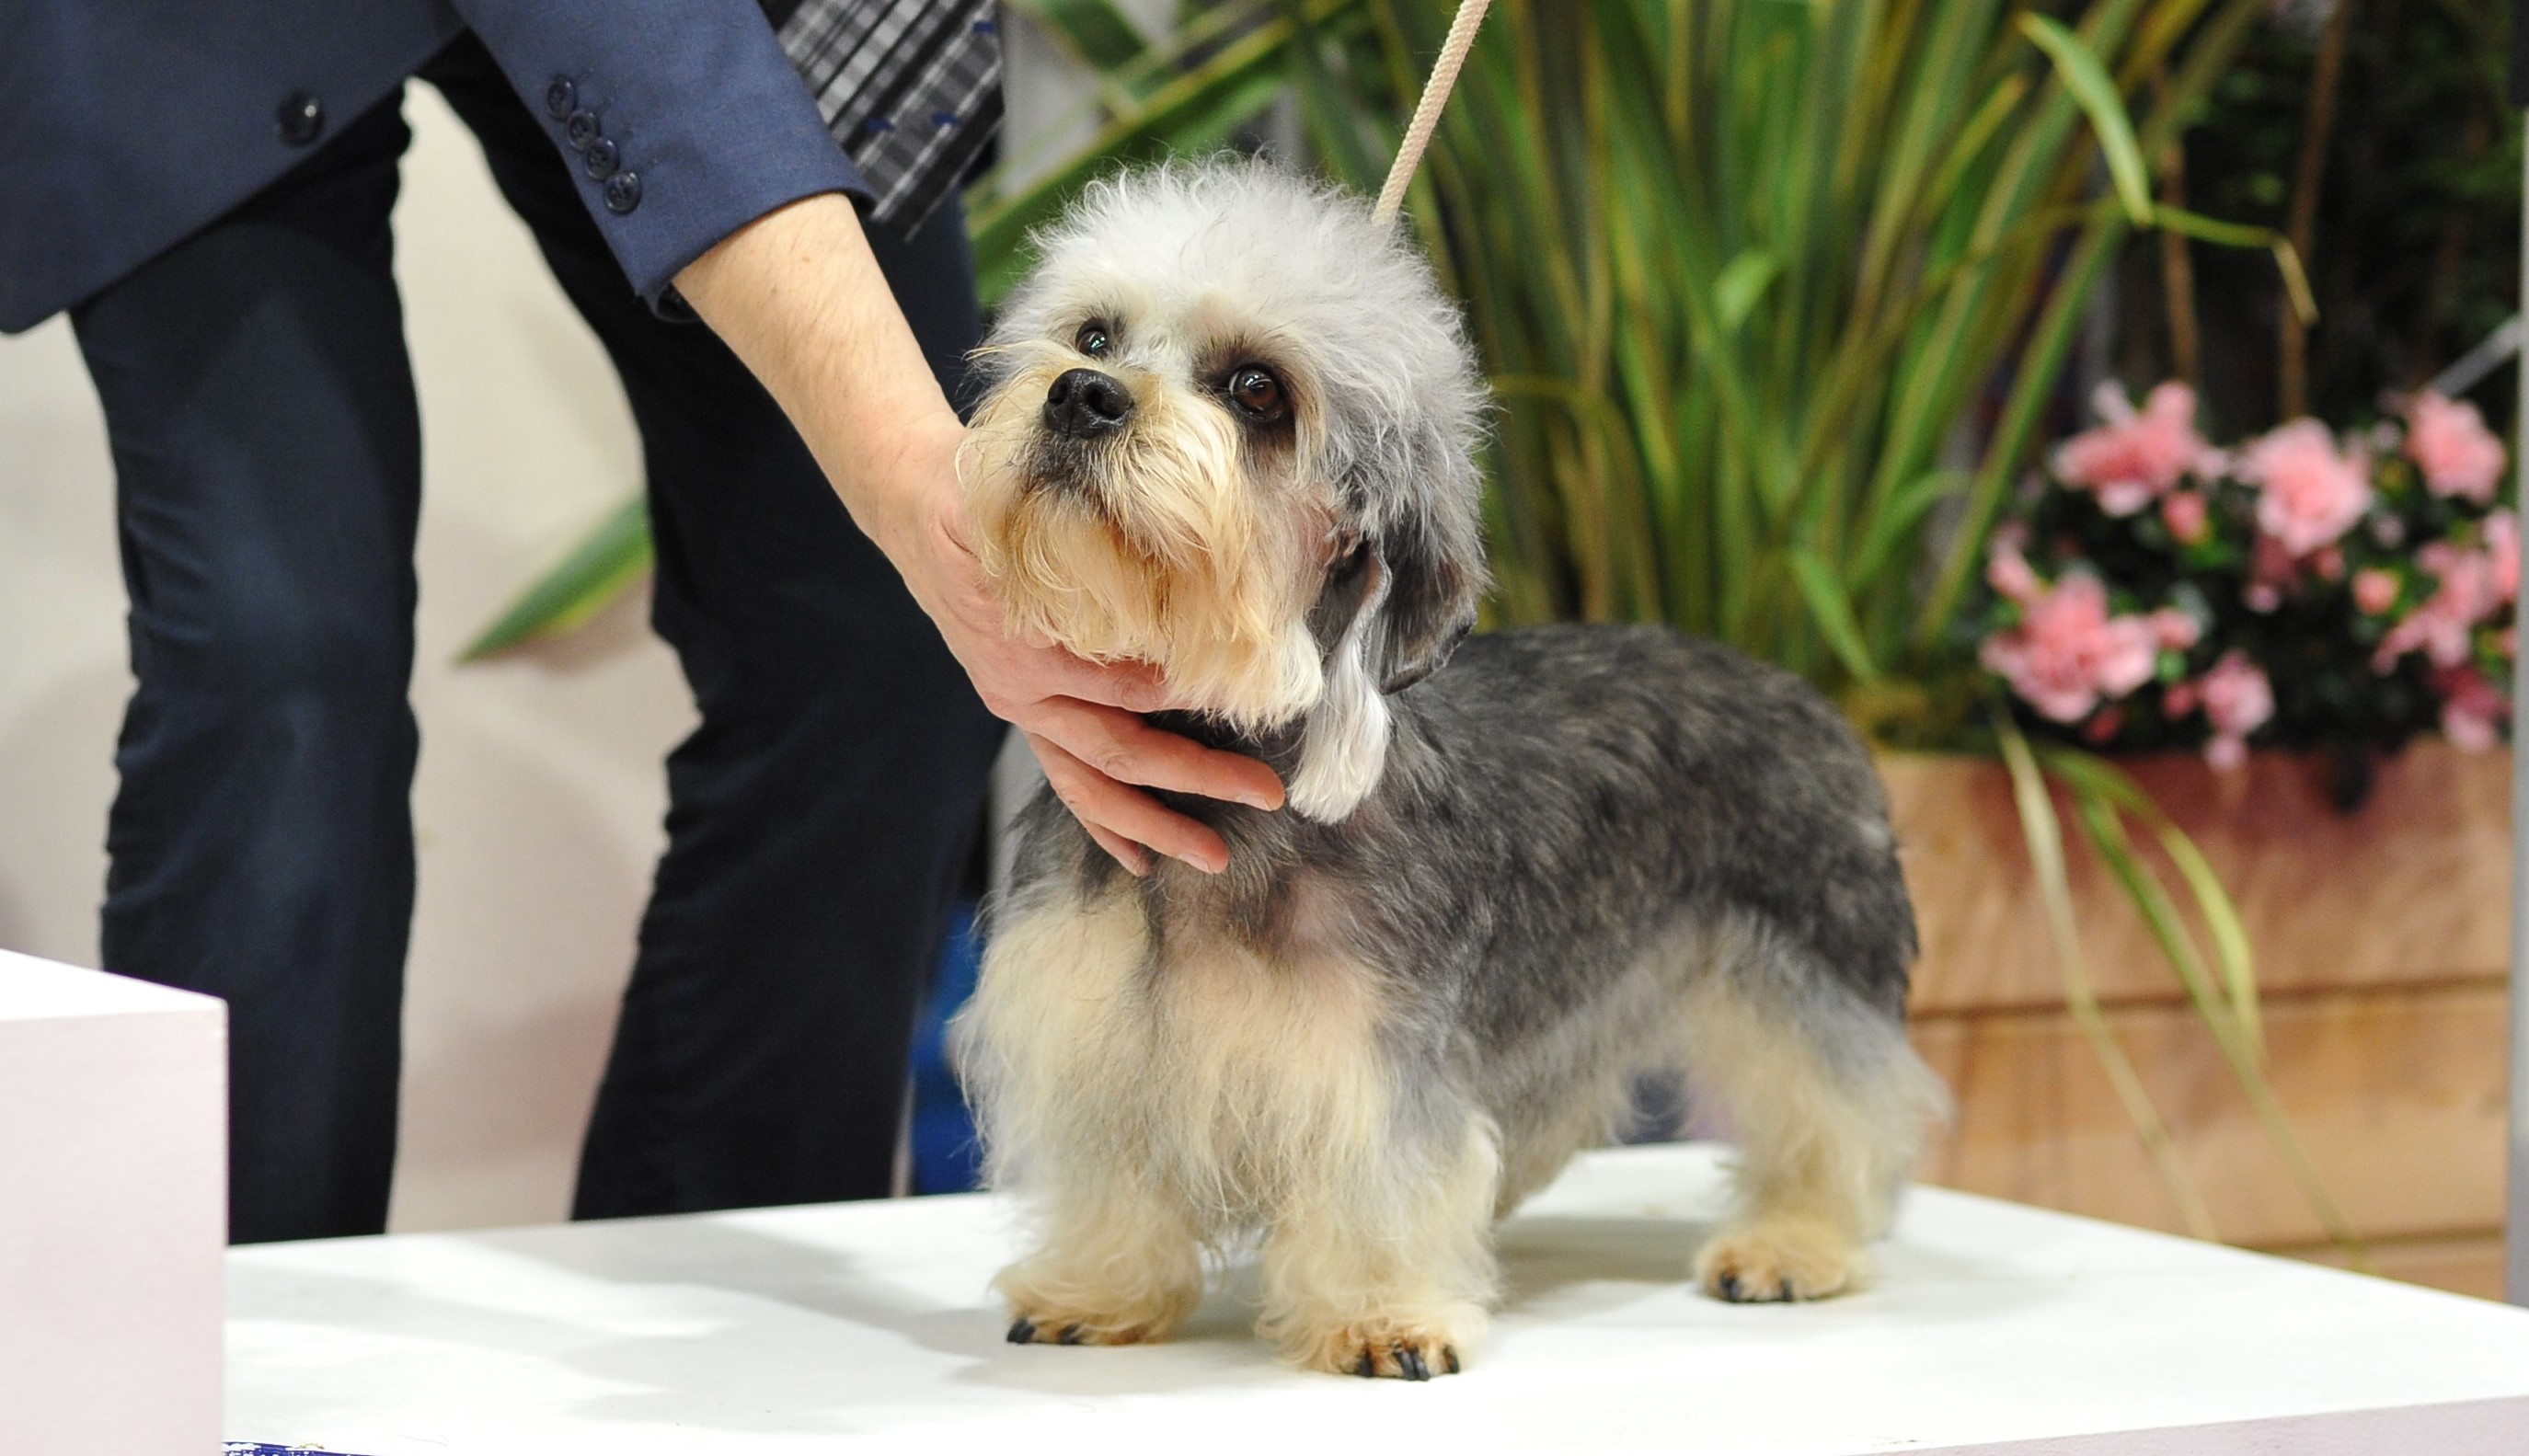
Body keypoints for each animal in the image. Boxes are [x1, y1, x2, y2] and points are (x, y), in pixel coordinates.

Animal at [956, 164, 1942, 1385]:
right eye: (1095, 332)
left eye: (1256, 390)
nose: (1081, 394)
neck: (1220, 766)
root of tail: (1795, 686)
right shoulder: (1095, 1025)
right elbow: (1111, 1175)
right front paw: (1096, 1288)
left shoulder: (1376, 1055)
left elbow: (1384, 1175)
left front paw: (1383, 1314)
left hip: (1805, 975)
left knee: (1843, 1114)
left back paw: (1793, 1243)